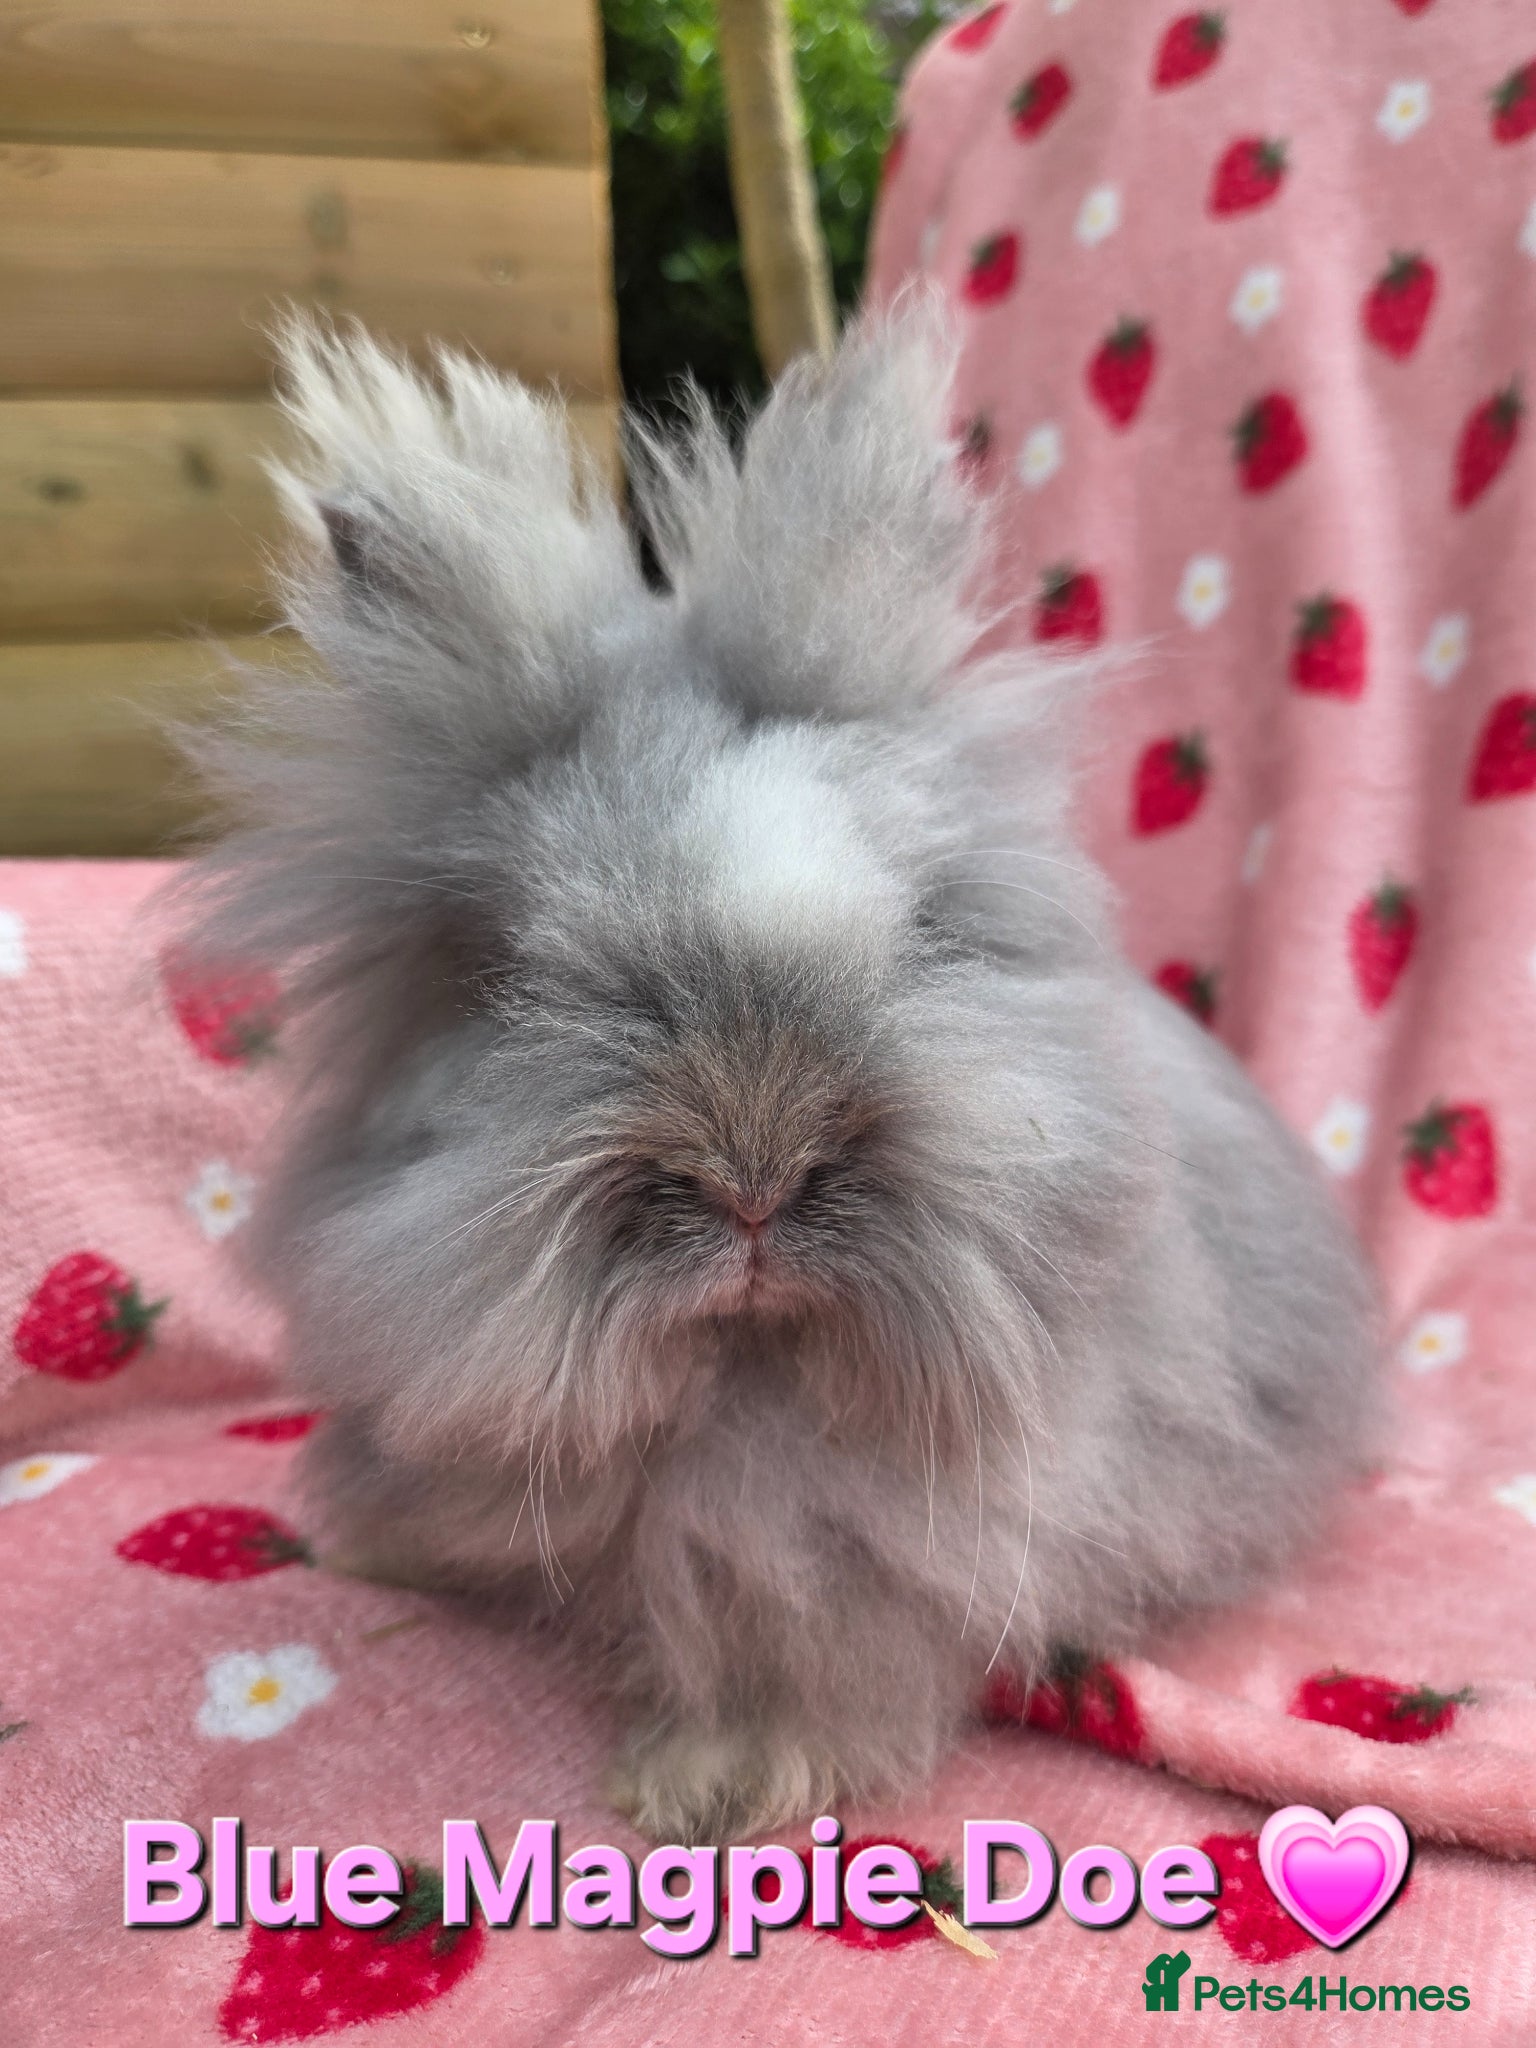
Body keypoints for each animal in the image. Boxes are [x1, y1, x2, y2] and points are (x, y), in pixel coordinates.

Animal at [175, 309, 1378, 1845]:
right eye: (501, 967)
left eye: (925, 928)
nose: (752, 1176)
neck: (743, 1375)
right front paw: (374, 1549)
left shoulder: (851, 1550)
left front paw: (714, 1786)